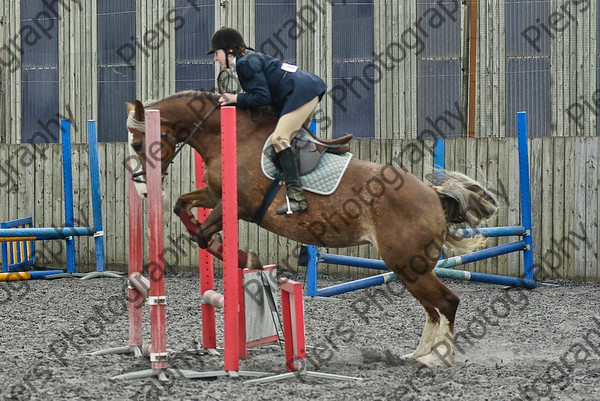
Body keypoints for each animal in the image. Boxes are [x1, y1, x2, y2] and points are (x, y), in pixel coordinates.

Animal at [125, 90, 496, 366]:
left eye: (139, 145)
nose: (142, 190)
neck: (228, 135)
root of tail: (433, 194)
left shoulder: (240, 206)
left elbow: (203, 234)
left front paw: (246, 259)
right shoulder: (216, 196)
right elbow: (182, 206)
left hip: (407, 263)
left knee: (446, 302)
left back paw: (436, 359)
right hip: (408, 266)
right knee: (433, 308)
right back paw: (416, 354)